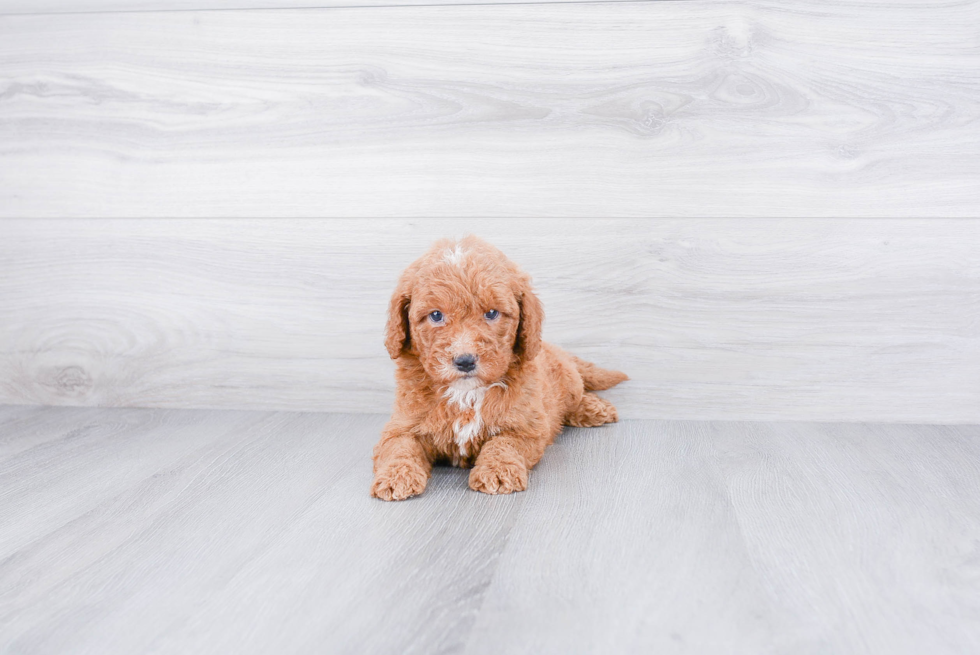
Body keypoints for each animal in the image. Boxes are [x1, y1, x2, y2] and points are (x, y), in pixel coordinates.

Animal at [368, 238, 628, 500]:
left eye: (492, 313)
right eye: (436, 315)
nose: (465, 361)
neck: (466, 393)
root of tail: (554, 348)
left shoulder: (526, 427)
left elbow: (503, 444)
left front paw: (498, 472)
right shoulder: (401, 425)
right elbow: (399, 447)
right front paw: (396, 477)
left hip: (568, 379)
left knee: (574, 396)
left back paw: (594, 407)